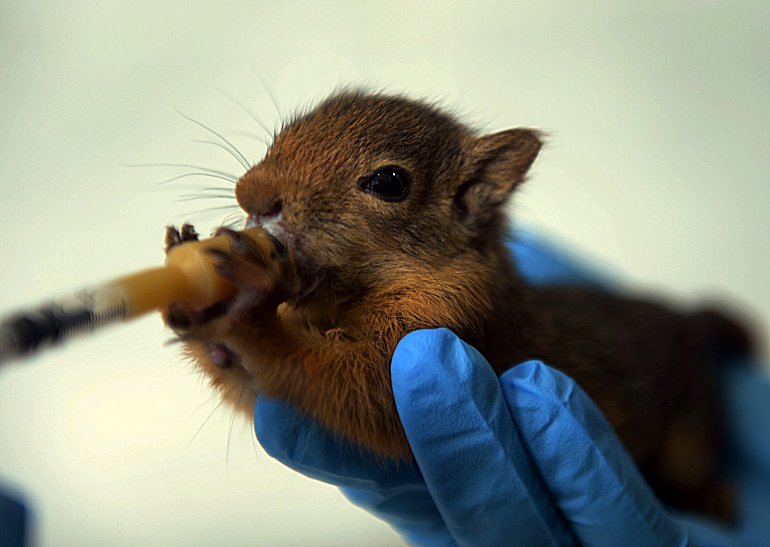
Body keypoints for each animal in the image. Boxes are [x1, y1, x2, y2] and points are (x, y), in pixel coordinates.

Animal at [162, 89, 752, 520]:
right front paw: (191, 272)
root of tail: (687, 322)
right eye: (281, 137)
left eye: (390, 182)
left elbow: (353, 386)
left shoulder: (446, 324)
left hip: (693, 424)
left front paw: (246, 304)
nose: (251, 193)